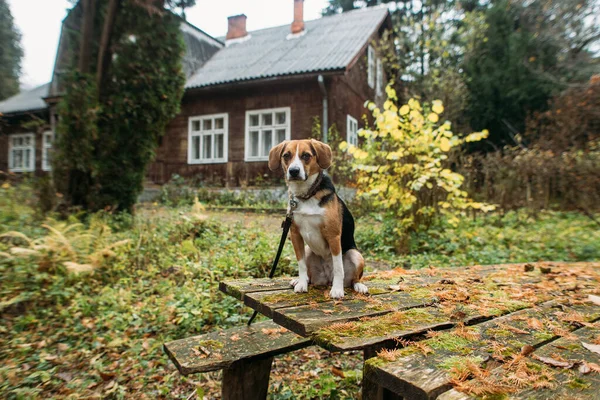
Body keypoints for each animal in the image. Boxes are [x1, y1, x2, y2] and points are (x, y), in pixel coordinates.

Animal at [270, 139, 368, 298]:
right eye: (286, 155)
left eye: (306, 155)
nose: (294, 171)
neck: (307, 195)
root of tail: (326, 279)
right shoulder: (295, 235)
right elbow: (301, 264)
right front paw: (302, 283)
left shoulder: (333, 236)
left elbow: (338, 267)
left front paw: (337, 290)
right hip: (309, 250)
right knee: (310, 274)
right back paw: (300, 280)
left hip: (356, 254)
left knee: (354, 278)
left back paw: (358, 286)